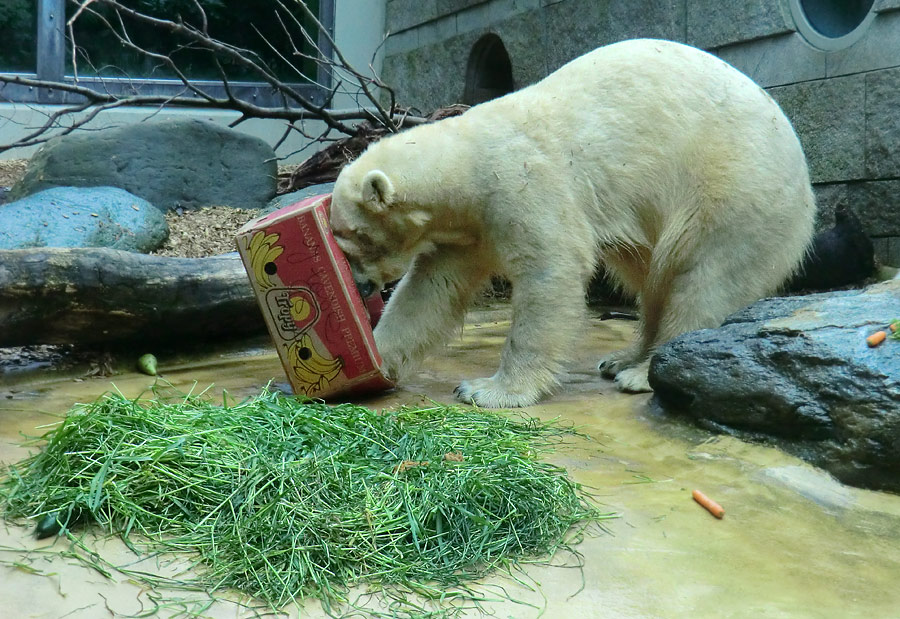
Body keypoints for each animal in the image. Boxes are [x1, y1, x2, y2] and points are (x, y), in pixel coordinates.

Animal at [328, 37, 816, 406]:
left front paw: (488, 390)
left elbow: (552, 271)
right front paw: (372, 361)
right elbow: (429, 292)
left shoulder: (523, 184)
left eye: (354, 238)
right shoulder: (467, 231)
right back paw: (621, 358)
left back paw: (642, 373)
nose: (362, 287)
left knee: (704, 280)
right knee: (648, 280)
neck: (467, 166)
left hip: (735, 190)